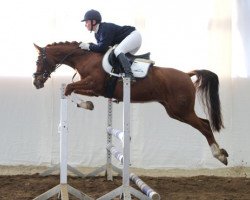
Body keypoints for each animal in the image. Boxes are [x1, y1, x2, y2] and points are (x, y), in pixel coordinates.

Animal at [32, 41, 229, 166]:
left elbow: (68, 88)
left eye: (39, 60)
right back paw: (220, 153)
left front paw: (85, 104)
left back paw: (219, 155)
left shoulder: (93, 84)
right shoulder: (95, 90)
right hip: (175, 111)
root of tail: (187, 75)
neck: (85, 58)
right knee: (204, 123)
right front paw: (87, 104)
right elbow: (70, 90)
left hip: (182, 111)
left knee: (205, 126)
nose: (36, 83)